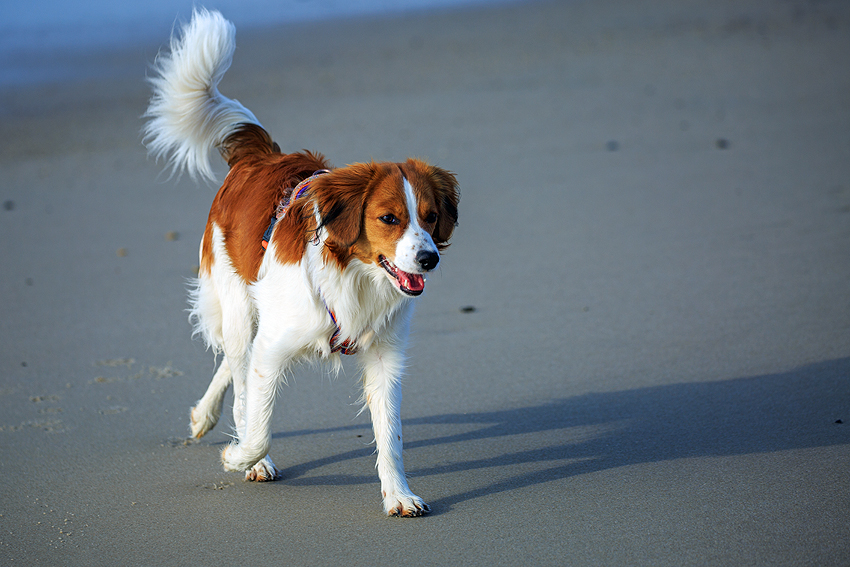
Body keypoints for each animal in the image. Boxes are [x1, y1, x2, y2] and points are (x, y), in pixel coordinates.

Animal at [142, 8, 458, 516]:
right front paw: (239, 456)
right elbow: (257, 425)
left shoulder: (385, 356)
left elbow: (390, 436)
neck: (353, 278)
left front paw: (398, 494)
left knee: (233, 367)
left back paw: (203, 415)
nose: (428, 259)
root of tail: (263, 157)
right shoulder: (272, 349)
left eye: (430, 217)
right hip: (238, 307)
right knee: (239, 371)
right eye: (389, 218)